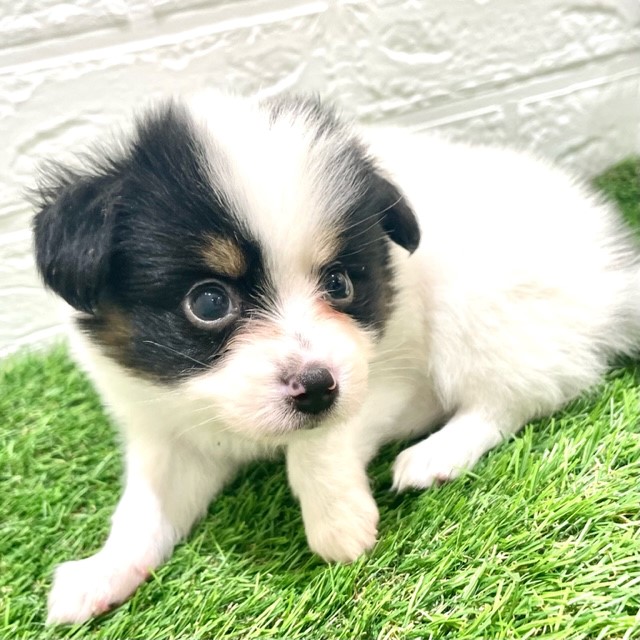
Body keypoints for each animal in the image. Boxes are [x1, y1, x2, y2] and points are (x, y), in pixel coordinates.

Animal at [33, 91, 640, 624]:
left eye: (340, 282)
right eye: (208, 302)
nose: (318, 385)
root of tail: (615, 279)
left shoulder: (383, 371)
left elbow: (321, 440)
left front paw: (338, 523)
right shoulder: (165, 427)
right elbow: (144, 508)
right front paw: (103, 572)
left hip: (485, 302)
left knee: (515, 399)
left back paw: (435, 455)